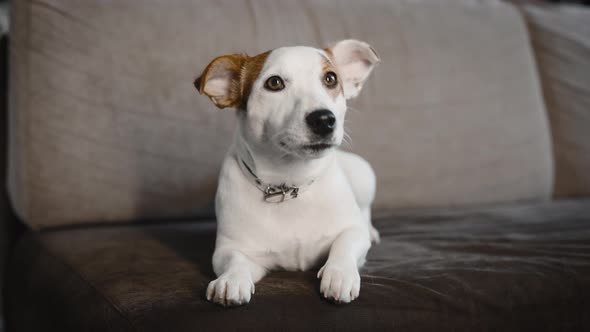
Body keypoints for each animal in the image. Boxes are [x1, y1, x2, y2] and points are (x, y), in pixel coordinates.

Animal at [197, 39, 382, 306]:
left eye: (331, 79)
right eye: (274, 83)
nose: (324, 119)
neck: (290, 182)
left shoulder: (352, 231)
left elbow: (345, 243)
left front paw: (340, 274)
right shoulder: (229, 249)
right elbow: (234, 260)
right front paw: (231, 280)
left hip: (364, 175)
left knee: (364, 212)